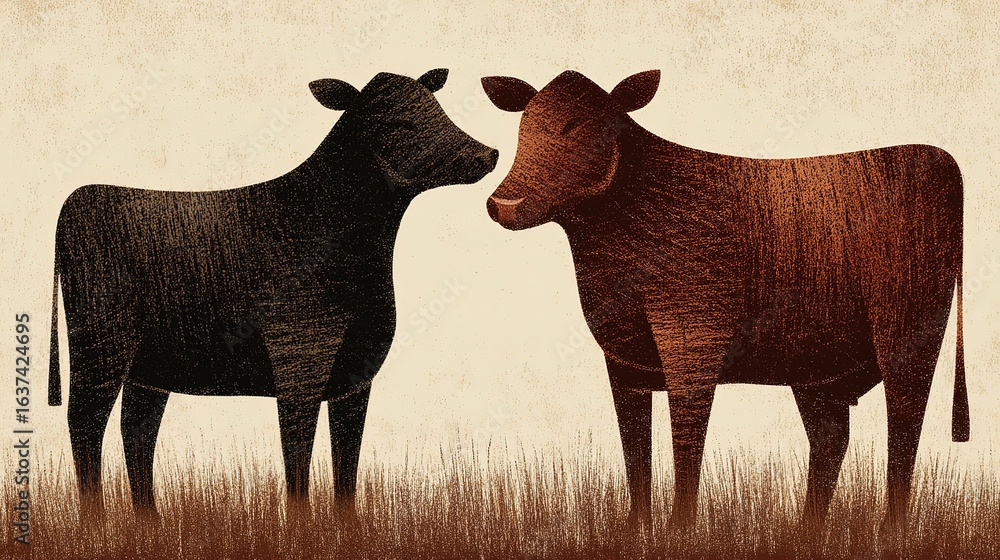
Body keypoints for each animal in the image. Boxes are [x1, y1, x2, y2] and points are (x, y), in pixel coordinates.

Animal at [48, 69, 499, 517]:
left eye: (437, 109)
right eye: (398, 123)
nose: (488, 154)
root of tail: (79, 195)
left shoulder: (357, 371)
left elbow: (347, 461)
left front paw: (348, 525)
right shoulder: (299, 361)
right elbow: (297, 455)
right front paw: (301, 525)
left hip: (151, 363)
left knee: (137, 429)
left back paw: (149, 522)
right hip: (100, 344)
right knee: (85, 421)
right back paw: (95, 521)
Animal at [482, 70, 968, 530]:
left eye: (584, 127)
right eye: (524, 127)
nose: (504, 203)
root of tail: (940, 157)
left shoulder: (692, 341)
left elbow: (685, 440)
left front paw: (679, 530)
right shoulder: (624, 357)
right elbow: (634, 445)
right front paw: (636, 529)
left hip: (908, 331)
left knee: (903, 424)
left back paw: (891, 531)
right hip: (814, 362)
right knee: (831, 436)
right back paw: (805, 532)